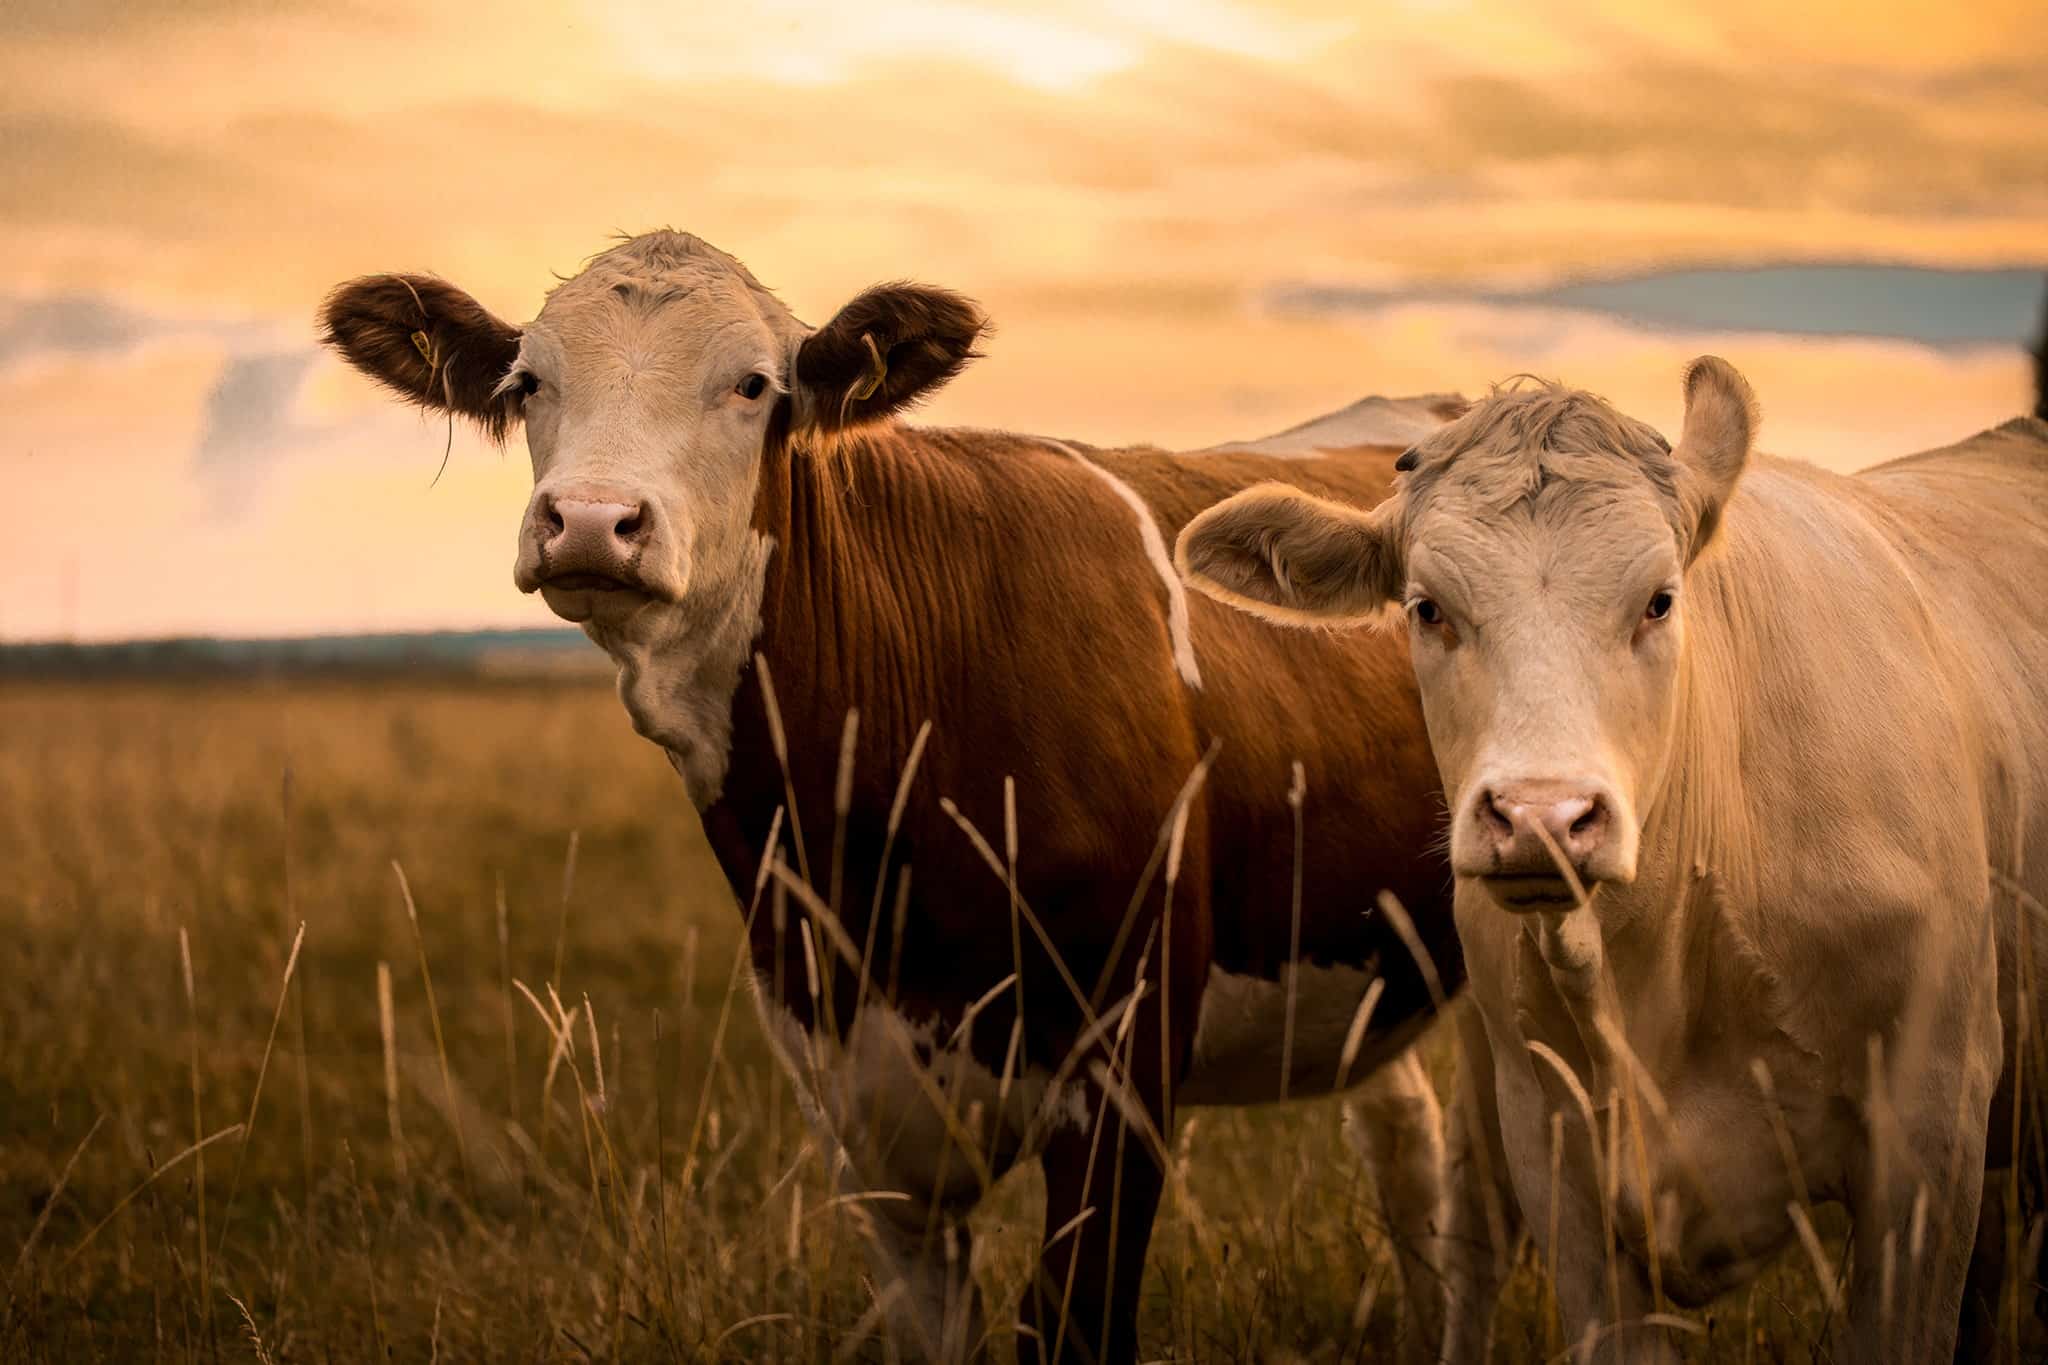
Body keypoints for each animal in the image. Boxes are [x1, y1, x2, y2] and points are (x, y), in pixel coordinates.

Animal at [318, 230, 1496, 1364]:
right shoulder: (853, 1102)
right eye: (528, 382)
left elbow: (1068, 1324)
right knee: (1410, 1156)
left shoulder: (1125, 1069)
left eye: (752, 384)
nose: (591, 520)